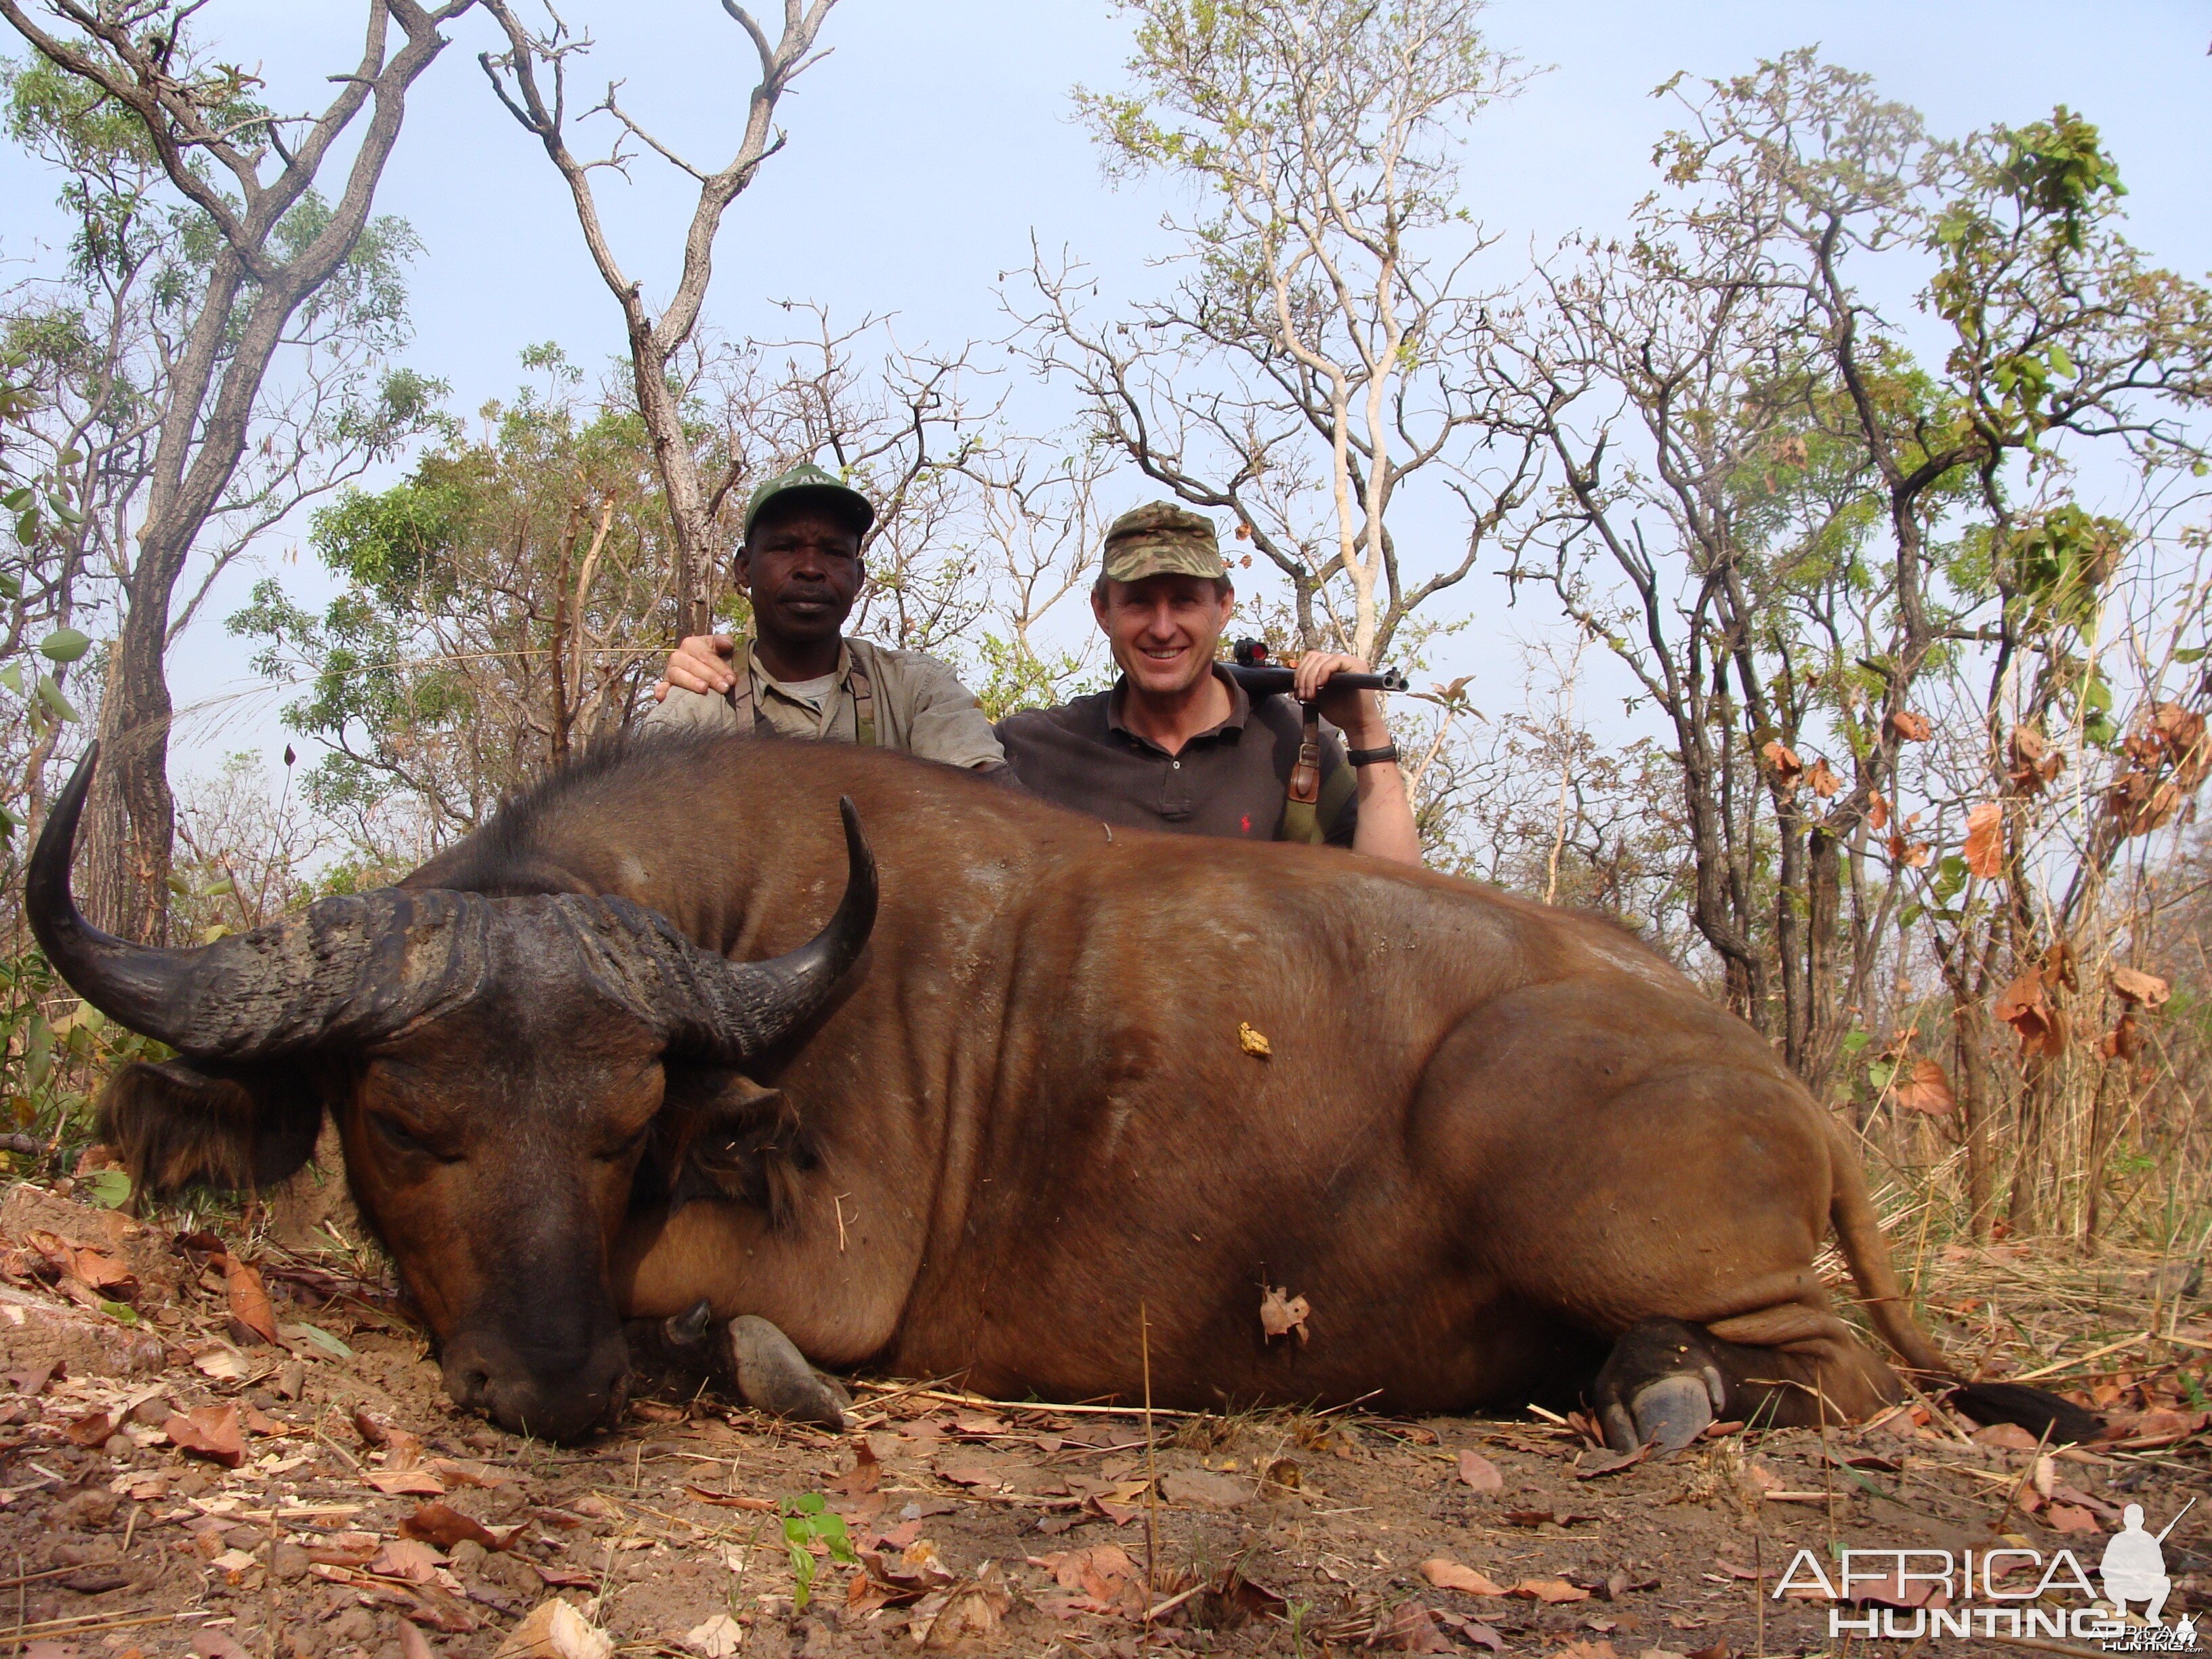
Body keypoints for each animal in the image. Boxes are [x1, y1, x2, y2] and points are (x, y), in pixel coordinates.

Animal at [26, 747, 2079, 1451]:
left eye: (622, 1132)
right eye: (405, 1124)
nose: (551, 1385)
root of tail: (1781, 1085)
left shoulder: (813, 1255)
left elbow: (722, 1312)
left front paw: (736, 1363)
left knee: (1844, 1372)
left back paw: (1659, 1385)